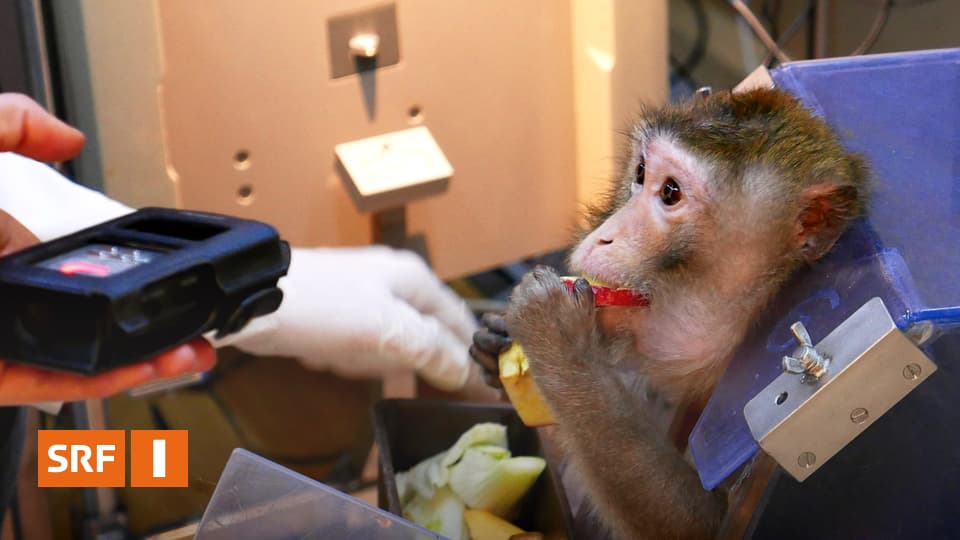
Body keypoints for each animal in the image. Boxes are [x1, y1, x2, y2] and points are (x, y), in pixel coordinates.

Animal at [470, 87, 869, 539]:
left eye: (671, 192)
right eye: (641, 171)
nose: (603, 237)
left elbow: (702, 525)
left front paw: (561, 341)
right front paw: (495, 344)